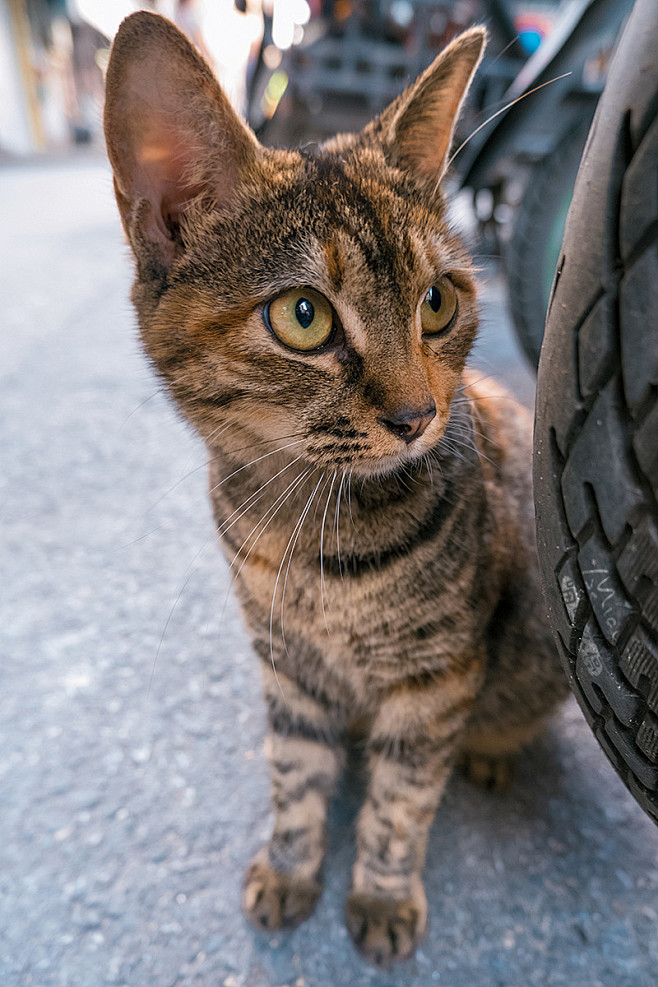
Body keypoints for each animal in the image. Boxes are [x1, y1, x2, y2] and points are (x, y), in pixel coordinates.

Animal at [105, 11, 568, 968]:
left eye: (438, 302)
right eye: (303, 316)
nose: (418, 415)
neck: (306, 529)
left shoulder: (435, 680)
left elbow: (399, 803)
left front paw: (383, 893)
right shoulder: (287, 667)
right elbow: (296, 773)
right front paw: (291, 865)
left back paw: (492, 753)